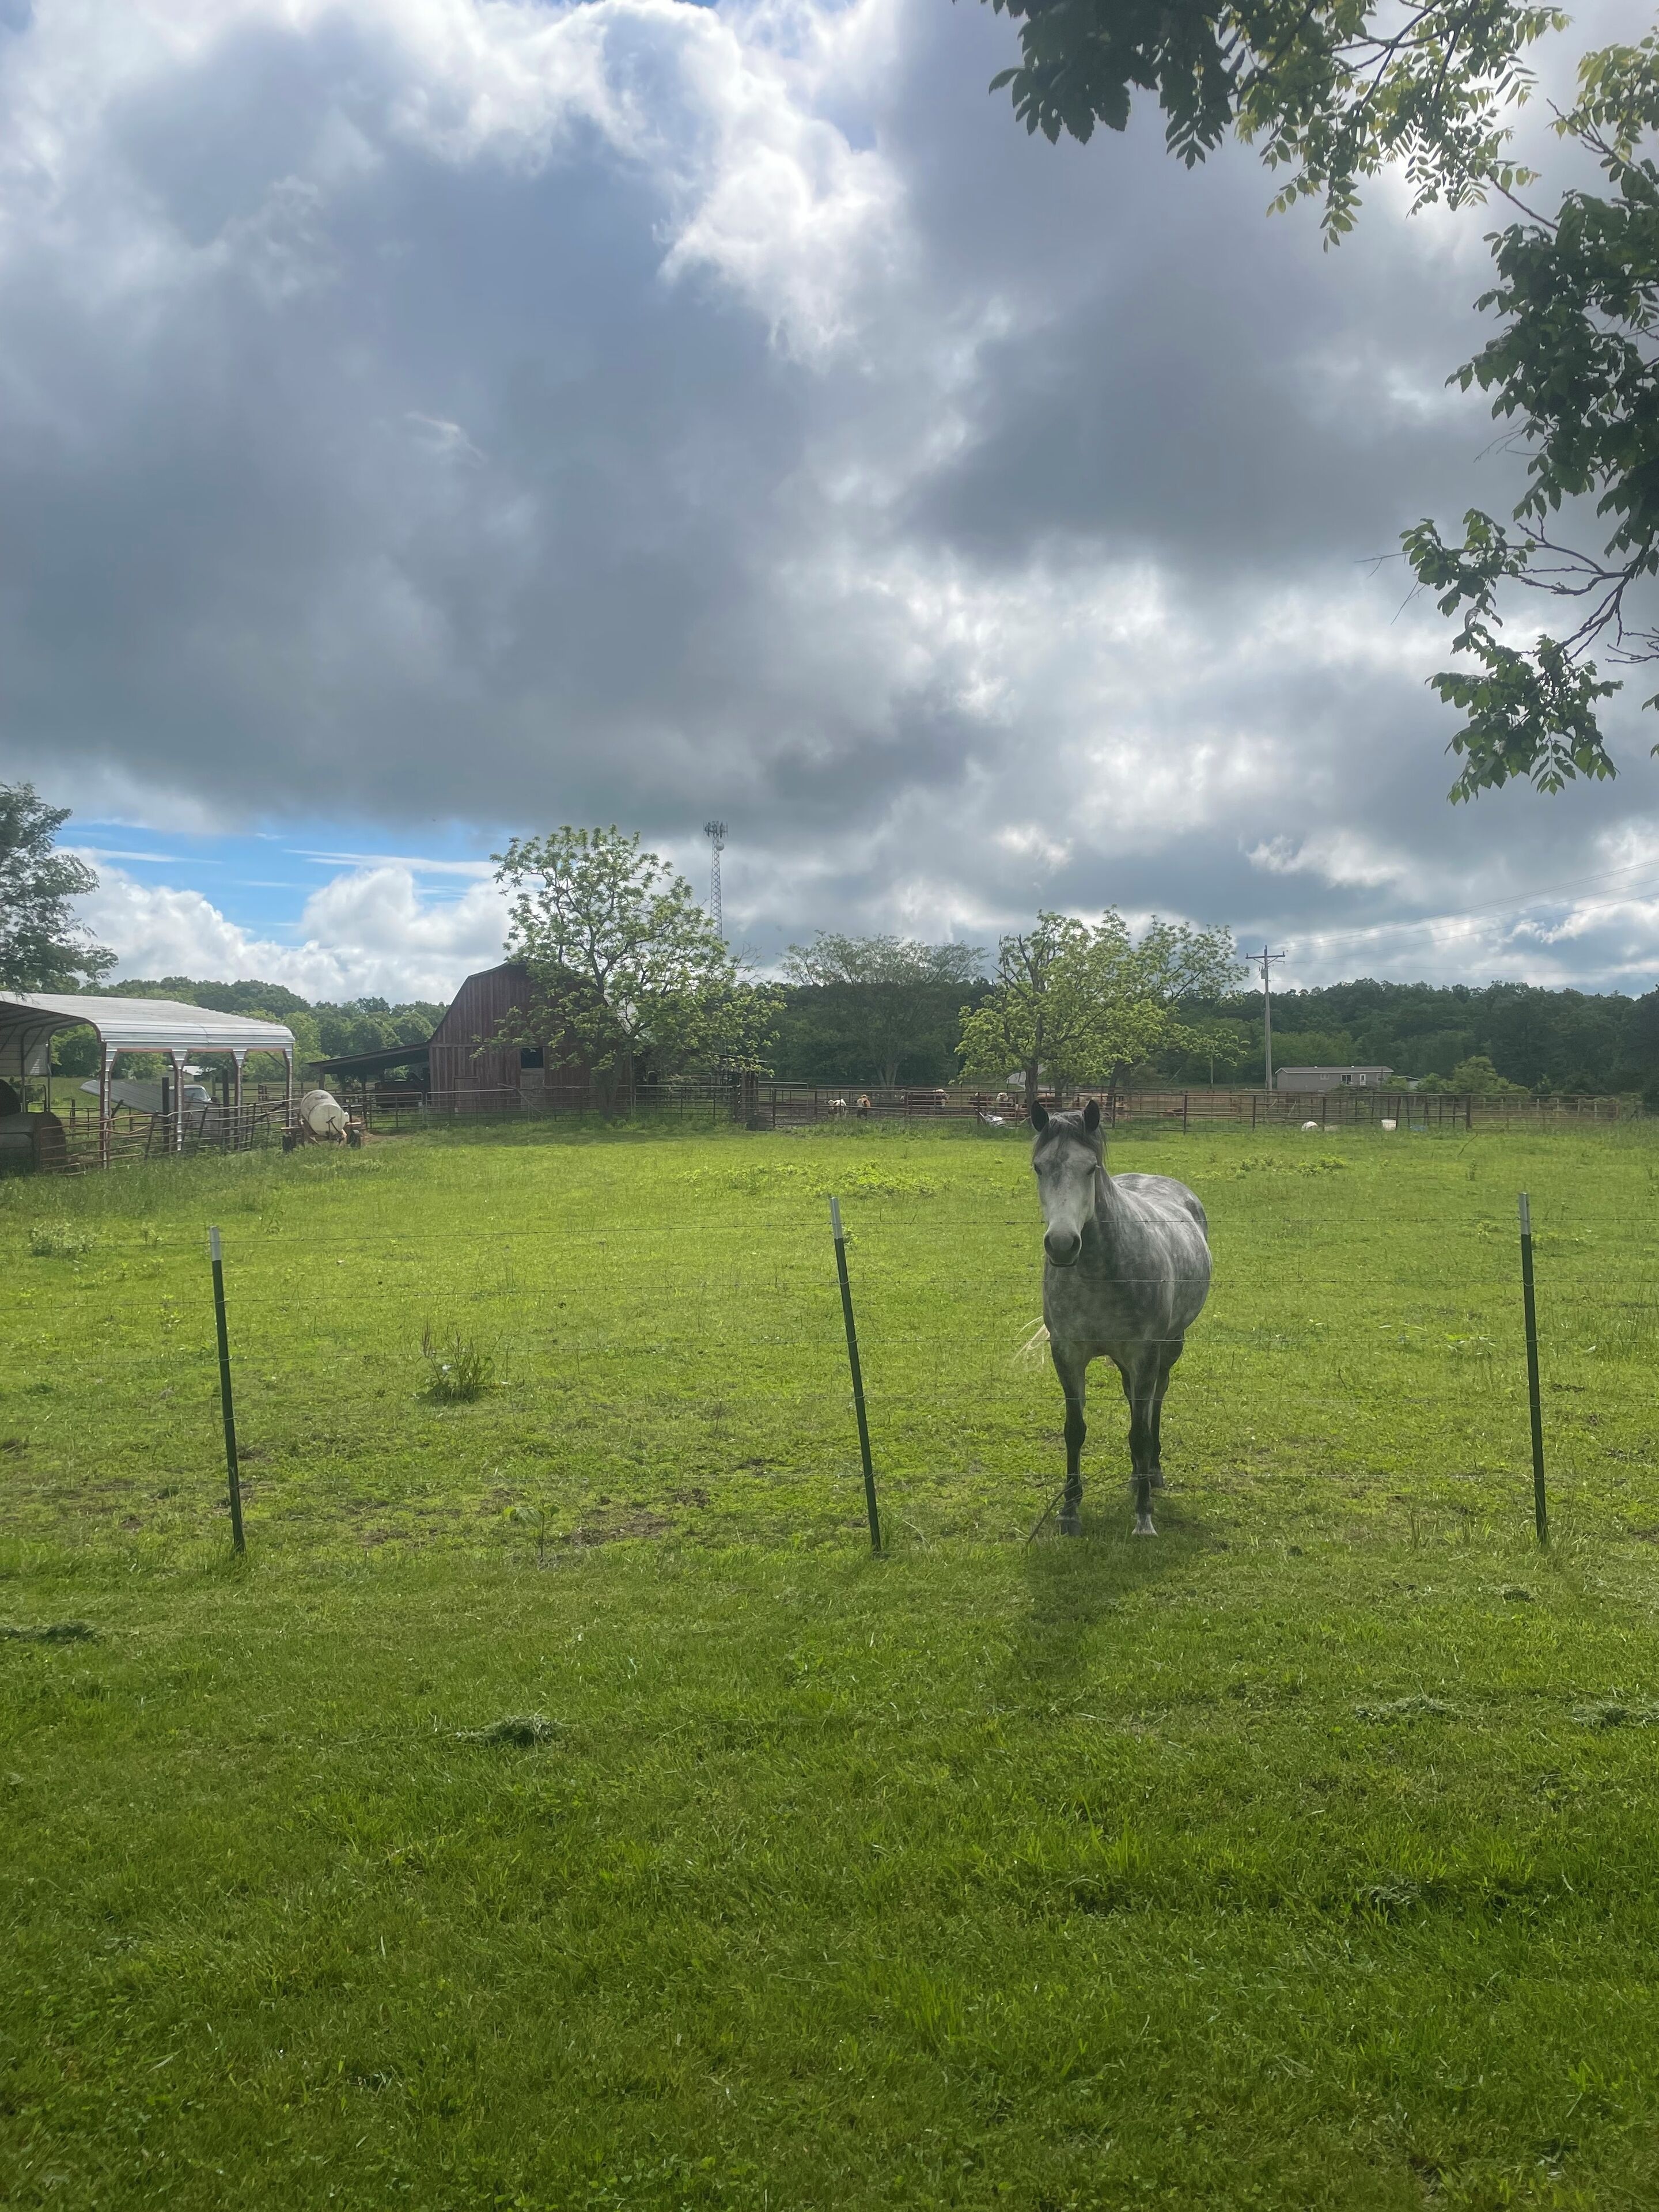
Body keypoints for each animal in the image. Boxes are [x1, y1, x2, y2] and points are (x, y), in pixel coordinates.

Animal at [1030, 1099, 1211, 1537]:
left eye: (1090, 1168)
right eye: (1039, 1168)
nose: (1062, 1245)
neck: (1099, 1270)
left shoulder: (1144, 1353)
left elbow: (1141, 1432)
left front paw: (1144, 1517)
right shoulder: (1067, 1354)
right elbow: (1075, 1430)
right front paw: (1069, 1512)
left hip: (1169, 1347)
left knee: (1154, 1403)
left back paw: (1151, 1474)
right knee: (1135, 1401)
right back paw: (1136, 1475)